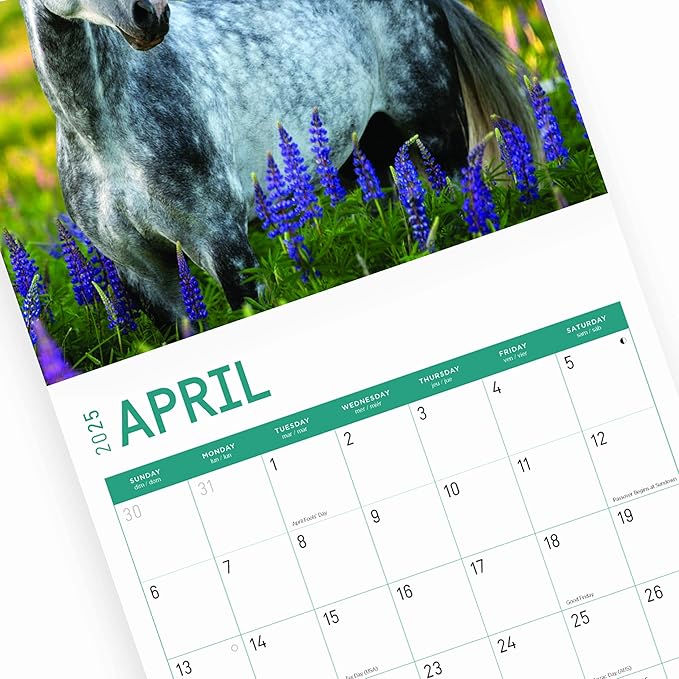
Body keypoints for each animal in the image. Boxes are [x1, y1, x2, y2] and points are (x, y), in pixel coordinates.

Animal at [20, 0, 534, 322]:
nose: (150, 15)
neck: (103, 129)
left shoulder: (223, 246)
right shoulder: (145, 276)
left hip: (438, 137)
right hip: (365, 159)